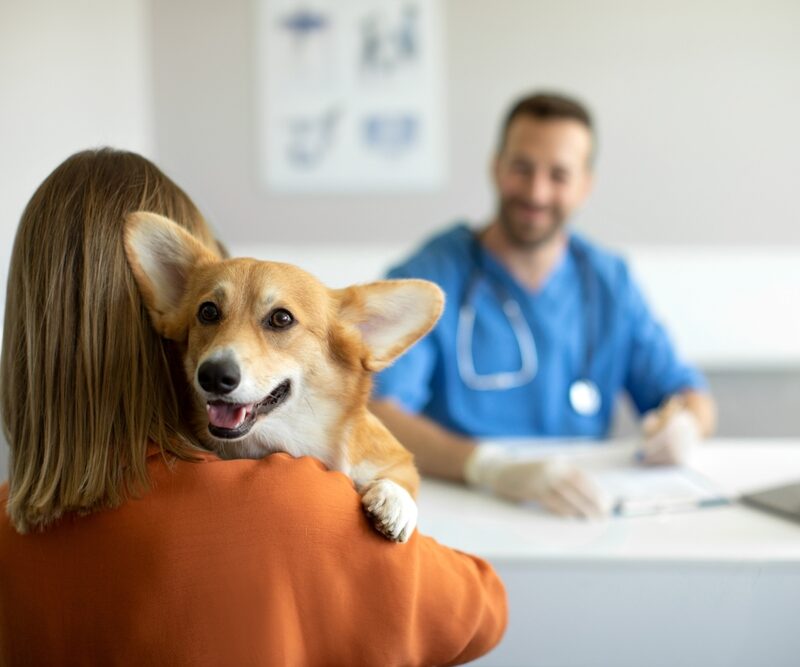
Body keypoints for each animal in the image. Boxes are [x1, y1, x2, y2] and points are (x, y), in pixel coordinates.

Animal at [128, 214, 446, 544]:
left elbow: (403, 476)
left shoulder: (392, 459)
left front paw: (394, 502)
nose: (213, 375)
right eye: (208, 312)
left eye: (281, 318)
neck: (291, 438)